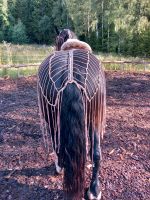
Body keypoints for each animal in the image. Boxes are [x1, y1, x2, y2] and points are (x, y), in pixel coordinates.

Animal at [37, 28, 106, 199]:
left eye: (56, 40)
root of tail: (71, 78)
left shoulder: (52, 120)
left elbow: (57, 143)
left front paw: (59, 165)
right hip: (94, 117)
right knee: (96, 153)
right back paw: (94, 190)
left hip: (53, 116)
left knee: (57, 143)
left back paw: (60, 166)